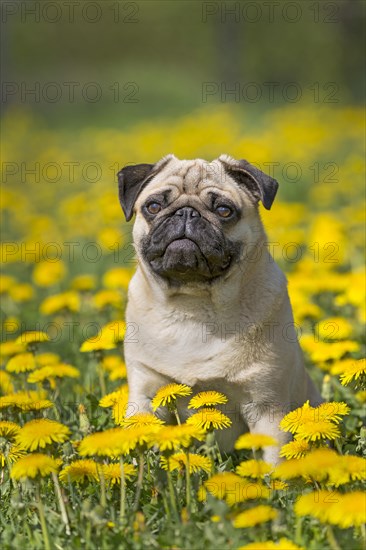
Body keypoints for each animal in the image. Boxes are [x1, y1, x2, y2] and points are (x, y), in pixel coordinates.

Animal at [117, 155, 320, 466]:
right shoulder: (146, 396)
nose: (186, 213)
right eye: (153, 206)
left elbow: (274, 461)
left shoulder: (267, 408)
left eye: (224, 210)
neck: (194, 307)